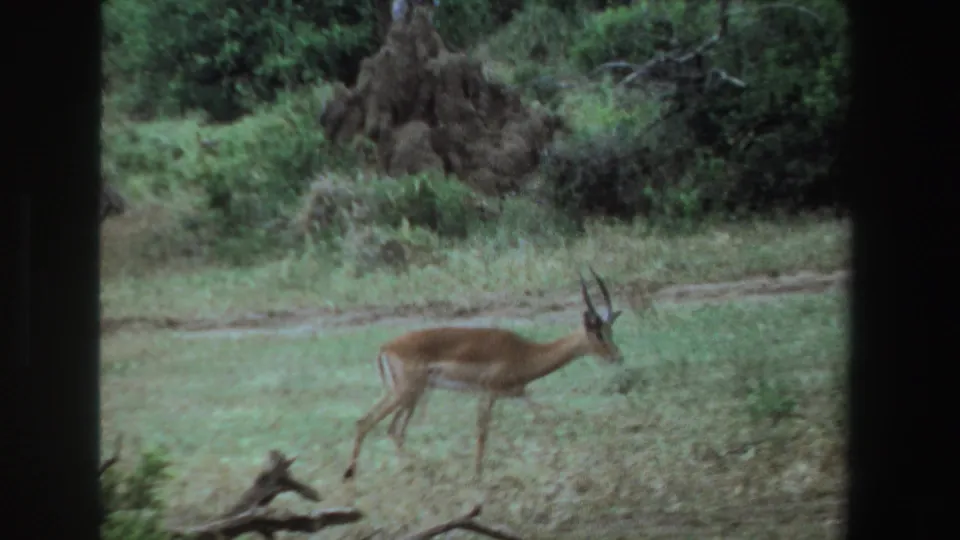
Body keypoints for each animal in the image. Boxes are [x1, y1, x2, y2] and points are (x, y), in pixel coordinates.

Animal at [343, 267, 624, 481]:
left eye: (610, 330)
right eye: (598, 333)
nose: (617, 357)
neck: (524, 352)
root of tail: (386, 346)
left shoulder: (517, 394)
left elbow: (546, 420)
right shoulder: (487, 393)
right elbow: (482, 433)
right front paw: (477, 476)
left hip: (407, 394)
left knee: (389, 429)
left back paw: (412, 470)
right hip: (407, 393)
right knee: (371, 423)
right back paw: (353, 475)